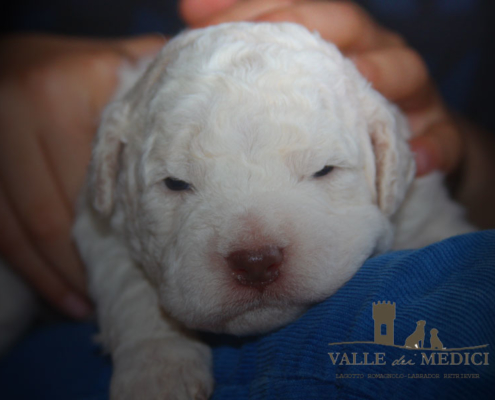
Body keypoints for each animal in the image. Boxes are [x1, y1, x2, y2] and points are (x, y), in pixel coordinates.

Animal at [0, 22, 472, 400]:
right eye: (175, 183)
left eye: (324, 170)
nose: (257, 262)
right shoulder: (101, 219)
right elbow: (133, 291)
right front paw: (159, 374)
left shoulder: (418, 201)